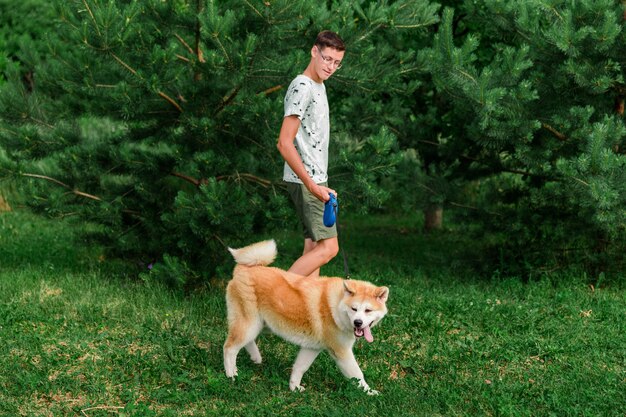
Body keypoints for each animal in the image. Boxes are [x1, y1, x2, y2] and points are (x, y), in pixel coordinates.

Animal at [222, 240, 388, 394]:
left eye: (368, 310)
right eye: (354, 309)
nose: (358, 322)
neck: (336, 305)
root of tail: (242, 269)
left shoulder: (312, 347)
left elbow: (300, 368)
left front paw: (294, 387)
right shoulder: (341, 351)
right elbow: (357, 375)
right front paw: (370, 392)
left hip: (263, 325)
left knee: (246, 341)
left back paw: (255, 358)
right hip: (250, 324)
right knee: (229, 348)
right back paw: (231, 375)